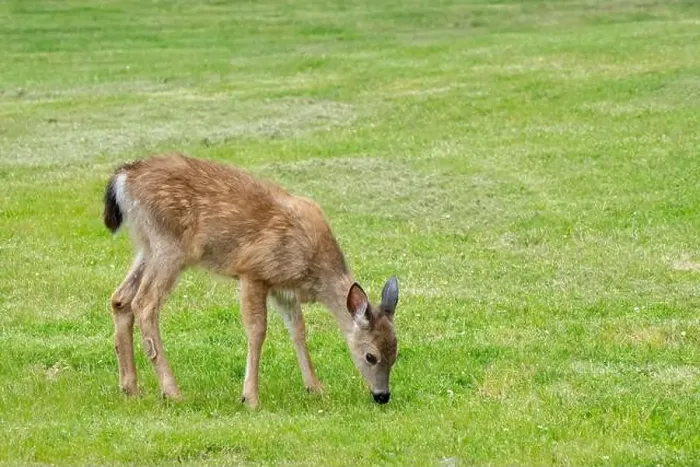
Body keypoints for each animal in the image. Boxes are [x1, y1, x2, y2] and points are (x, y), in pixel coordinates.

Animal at [103, 154, 399, 408]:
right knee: (144, 303)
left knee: (120, 299)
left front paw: (315, 387)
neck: (313, 267)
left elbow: (298, 330)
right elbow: (257, 331)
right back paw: (172, 391)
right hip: (169, 245)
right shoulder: (253, 272)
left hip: (147, 246)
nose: (382, 395)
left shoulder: (283, 289)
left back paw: (130, 387)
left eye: (396, 352)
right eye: (370, 355)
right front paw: (250, 397)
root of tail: (123, 178)